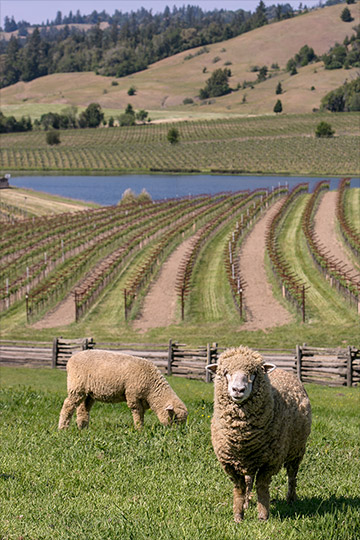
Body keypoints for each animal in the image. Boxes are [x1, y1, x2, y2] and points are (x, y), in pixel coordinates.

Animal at [57, 350, 187, 430]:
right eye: (175, 419)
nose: (177, 433)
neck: (152, 389)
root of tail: (70, 360)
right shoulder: (133, 396)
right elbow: (138, 413)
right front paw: (139, 429)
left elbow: (142, 414)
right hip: (76, 387)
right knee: (68, 405)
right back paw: (63, 428)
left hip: (88, 393)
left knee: (83, 409)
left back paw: (83, 428)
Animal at [207, 346, 310, 524]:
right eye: (226, 372)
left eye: (254, 373)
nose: (238, 390)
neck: (241, 434)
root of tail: (283, 370)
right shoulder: (230, 463)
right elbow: (240, 489)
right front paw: (238, 516)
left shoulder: (269, 462)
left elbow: (262, 487)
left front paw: (263, 516)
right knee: (250, 480)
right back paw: (248, 503)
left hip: (296, 450)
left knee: (292, 475)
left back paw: (291, 499)